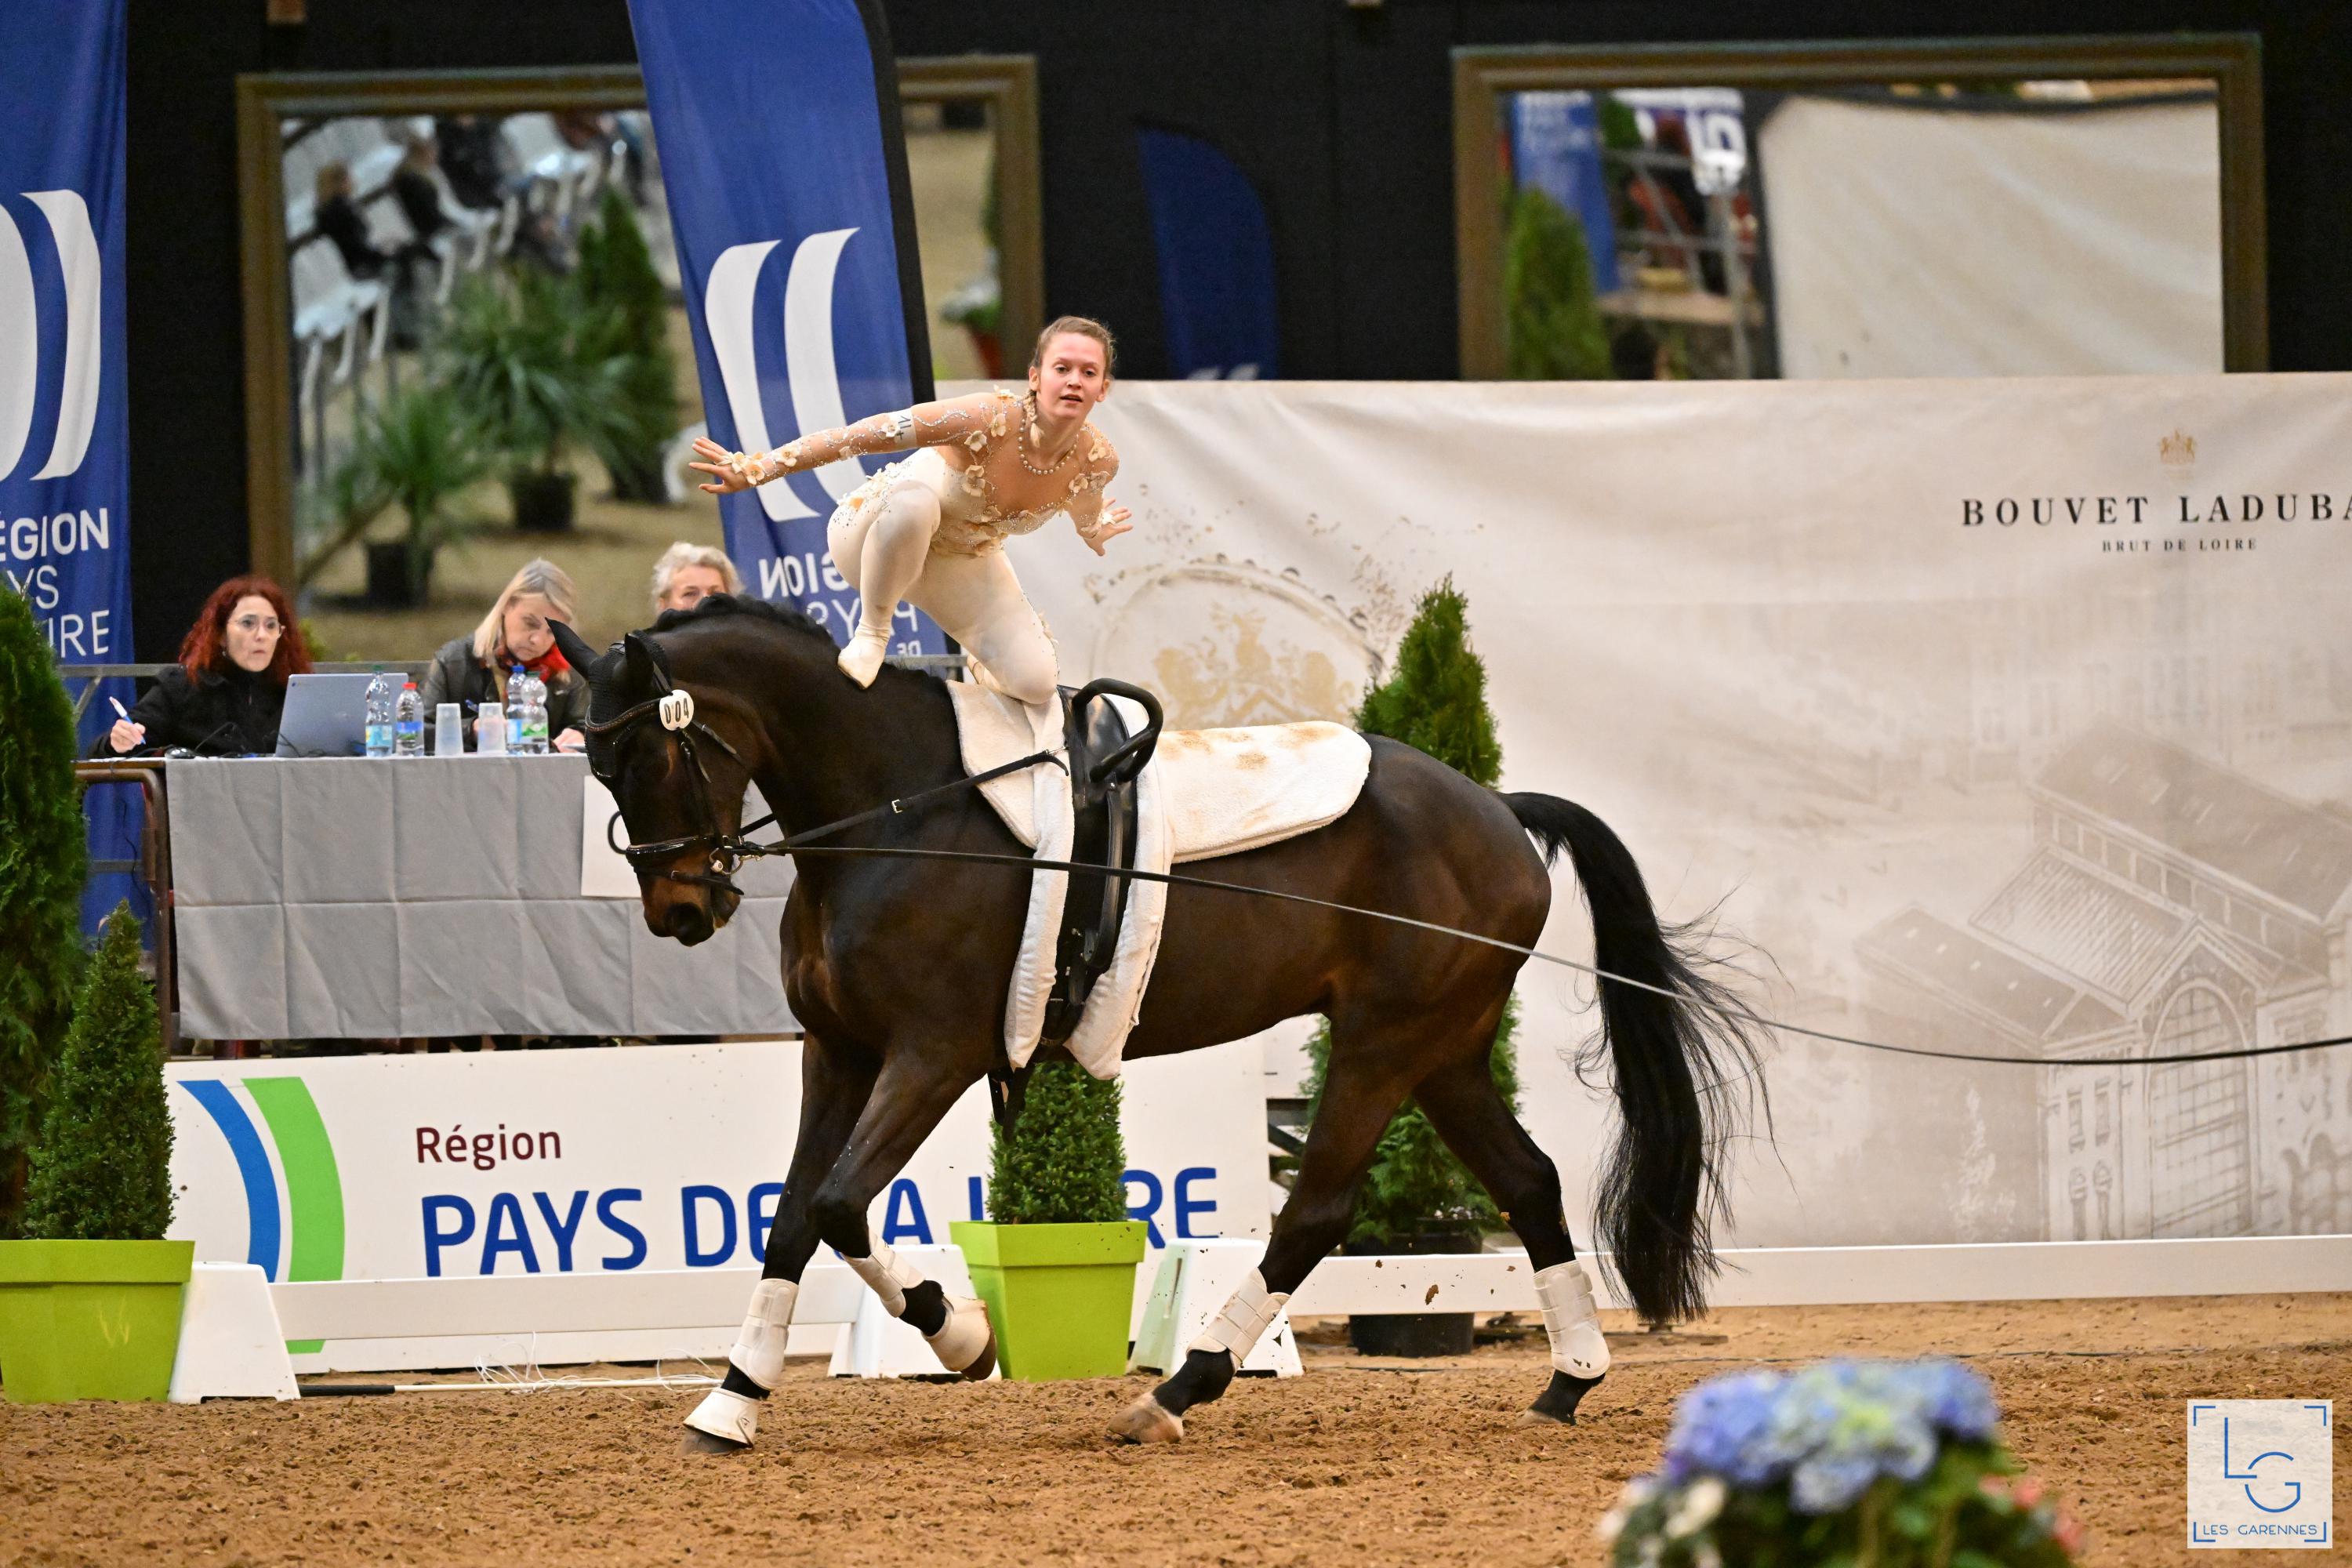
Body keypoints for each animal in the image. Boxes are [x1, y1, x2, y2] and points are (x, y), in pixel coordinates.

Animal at [550, 597, 1759, 1448]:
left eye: (651, 751)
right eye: (597, 761)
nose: (681, 911)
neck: (896, 811)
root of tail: (1501, 812)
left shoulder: (932, 1053)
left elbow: (844, 1202)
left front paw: (964, 1336)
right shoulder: (837, 1051)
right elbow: (797, 1215)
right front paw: (732, 1402)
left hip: (1384, 1041)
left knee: (1317, 1210)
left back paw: (1176, 1390)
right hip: (1446, 1049)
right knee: (1529, 1182)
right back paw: (1568, 1381)